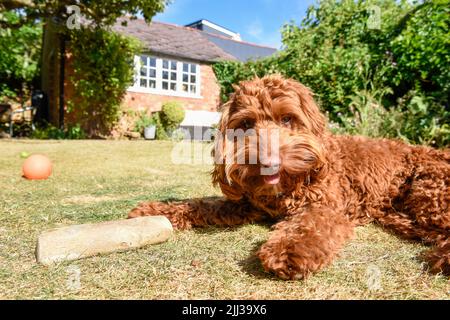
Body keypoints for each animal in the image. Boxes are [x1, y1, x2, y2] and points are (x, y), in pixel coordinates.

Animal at [128, 75, 448, 280]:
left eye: (287, 119)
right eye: (246, 124)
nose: (269, 162)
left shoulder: (325, 206)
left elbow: (308, 226)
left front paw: (288, 252)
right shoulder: (246, 205)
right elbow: (202, 204)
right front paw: (153, 211)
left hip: (428, 192)